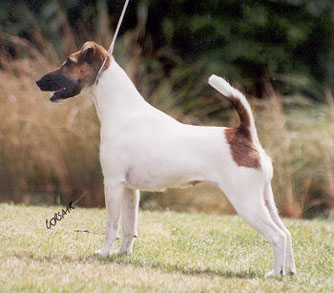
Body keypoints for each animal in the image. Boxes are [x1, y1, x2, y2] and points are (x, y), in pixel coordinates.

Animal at [36, 41, 296, 276]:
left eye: (68, 62)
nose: (38, 82)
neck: (122, 110)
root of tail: (244, 134)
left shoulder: (112, 182)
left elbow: (111, 225)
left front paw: (104, 253)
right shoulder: (130, 189)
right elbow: (129, 227)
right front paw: (122, 255)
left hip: (247, 202)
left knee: (276, 236)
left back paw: (275, 273)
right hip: (265, 199)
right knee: (286, 232)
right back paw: (289, 271)